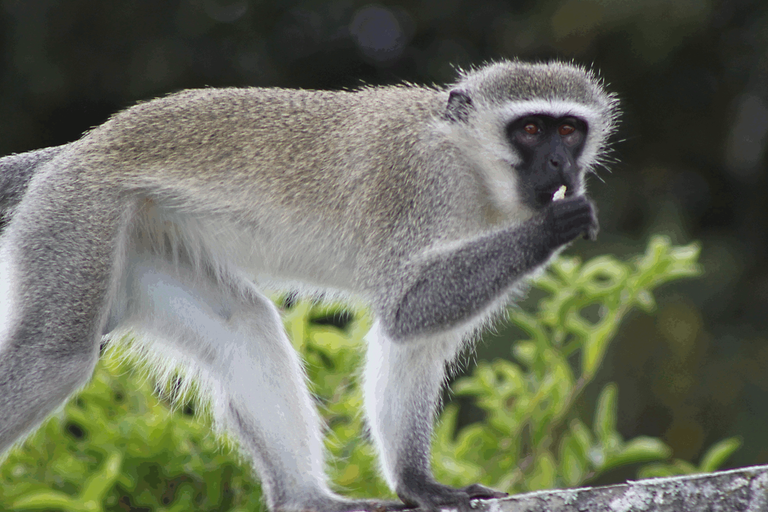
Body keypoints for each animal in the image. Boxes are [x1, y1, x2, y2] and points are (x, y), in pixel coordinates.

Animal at [0, 61, 616, 512]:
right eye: (530, 129)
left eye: (569, 129)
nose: (560, 163)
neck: (474, 167)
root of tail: (84, 146)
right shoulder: (417, 186)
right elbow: (406, 307)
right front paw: (554, 225)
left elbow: (414, 336)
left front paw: (417, 483)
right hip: (80, 209)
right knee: (54, 355)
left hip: (144, 240)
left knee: (244, 330)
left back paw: (306, 500)